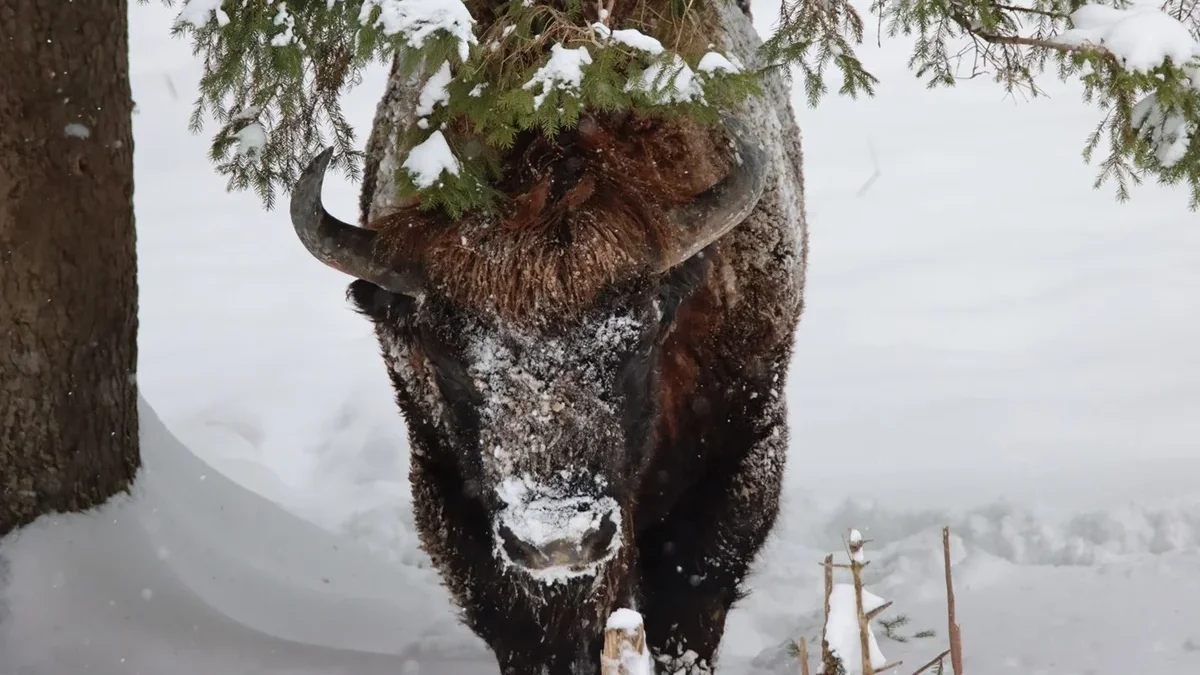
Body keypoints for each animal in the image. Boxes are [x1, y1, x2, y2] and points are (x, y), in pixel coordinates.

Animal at [286, 1, 806, 667]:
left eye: (639, 337)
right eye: (444, 354)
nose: (560, 541)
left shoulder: (742, 447)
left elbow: (687, 602)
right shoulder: (444, 483)